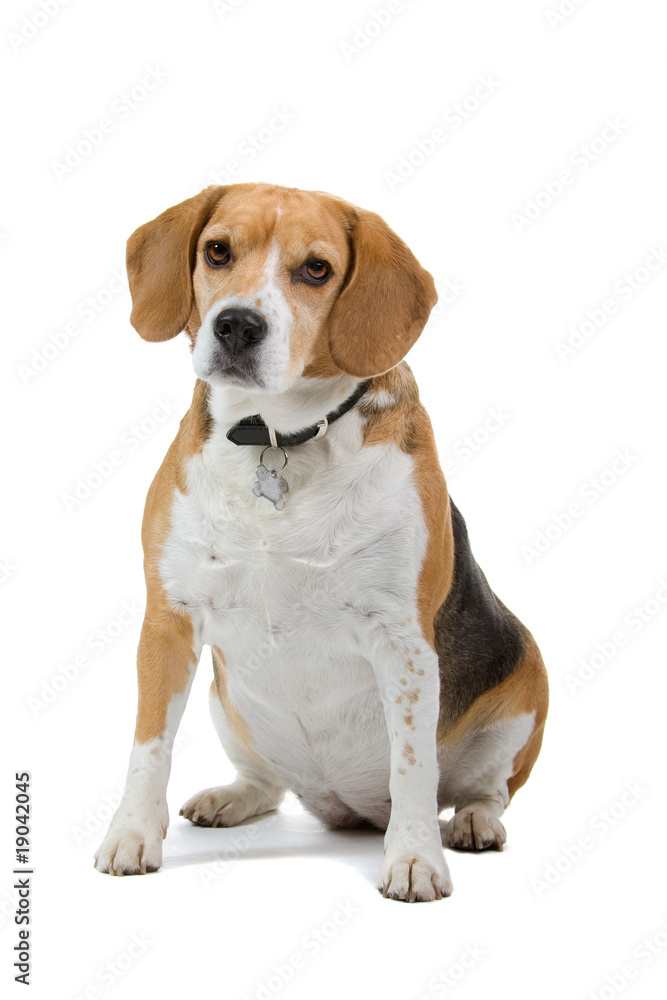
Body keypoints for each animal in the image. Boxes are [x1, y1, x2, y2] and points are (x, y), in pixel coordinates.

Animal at [96, 184, 552, 904]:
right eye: (216, 251)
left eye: (316, 269)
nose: (237, 325)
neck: (276, 438)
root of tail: (349, 809)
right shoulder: (168, 623)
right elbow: (149, 747)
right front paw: (132, 835)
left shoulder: (403, 642)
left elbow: (413, 765)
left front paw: (414, 858)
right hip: (228, 702)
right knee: (270, 784)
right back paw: (232, 798)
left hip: (526, 690)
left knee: (481, 790)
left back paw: (473, 823)